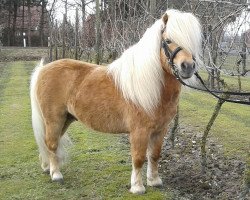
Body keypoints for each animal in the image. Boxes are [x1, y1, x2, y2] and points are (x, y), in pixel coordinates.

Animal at [30, 9, 202, 194]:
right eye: (168, 40)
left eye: (193, 43)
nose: (188, 66)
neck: (152, 87)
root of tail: (43, 70)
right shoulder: (139, 131)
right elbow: (139, 158)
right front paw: (137, 187)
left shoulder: (160, 130)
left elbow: (154, 155)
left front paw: (154, 181)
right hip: (54, 119)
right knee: (52, 143)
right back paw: (56, 174)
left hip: (65, 120)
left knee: (48, 143)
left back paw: (47, 167)